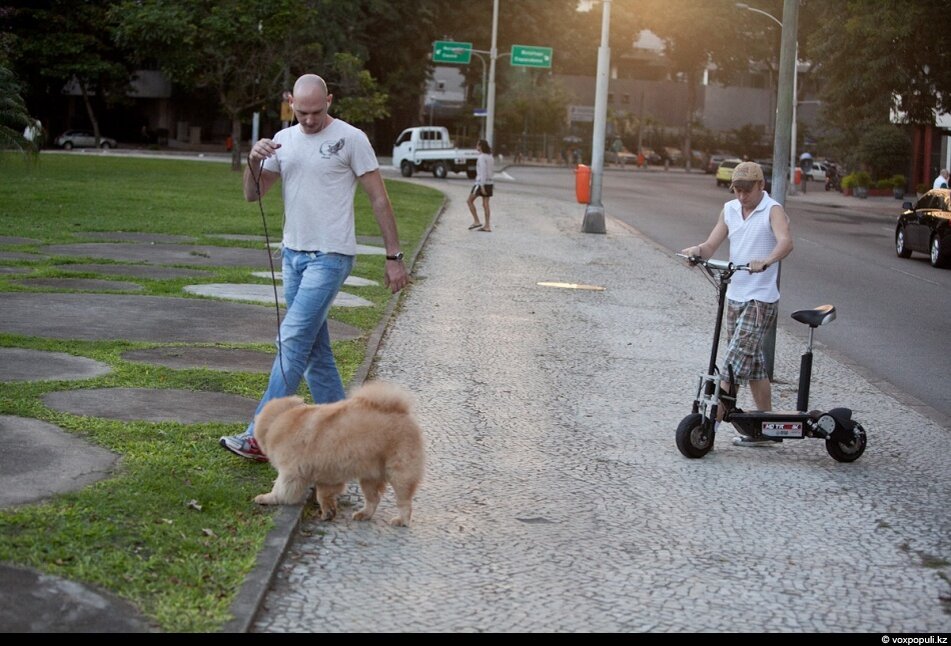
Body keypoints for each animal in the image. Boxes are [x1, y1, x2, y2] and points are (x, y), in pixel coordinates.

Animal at [256, 382, 428, 528]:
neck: (278, 420)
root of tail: (402, 412)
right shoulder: (327, 477)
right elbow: (323, 495)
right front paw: (328, 512)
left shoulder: (290, 473)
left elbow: (280, 490)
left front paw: (266, 498)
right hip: (369, 476)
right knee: (373, 499)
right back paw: (363, 514)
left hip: (399, 471)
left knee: (404, 501)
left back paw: (401, 521)